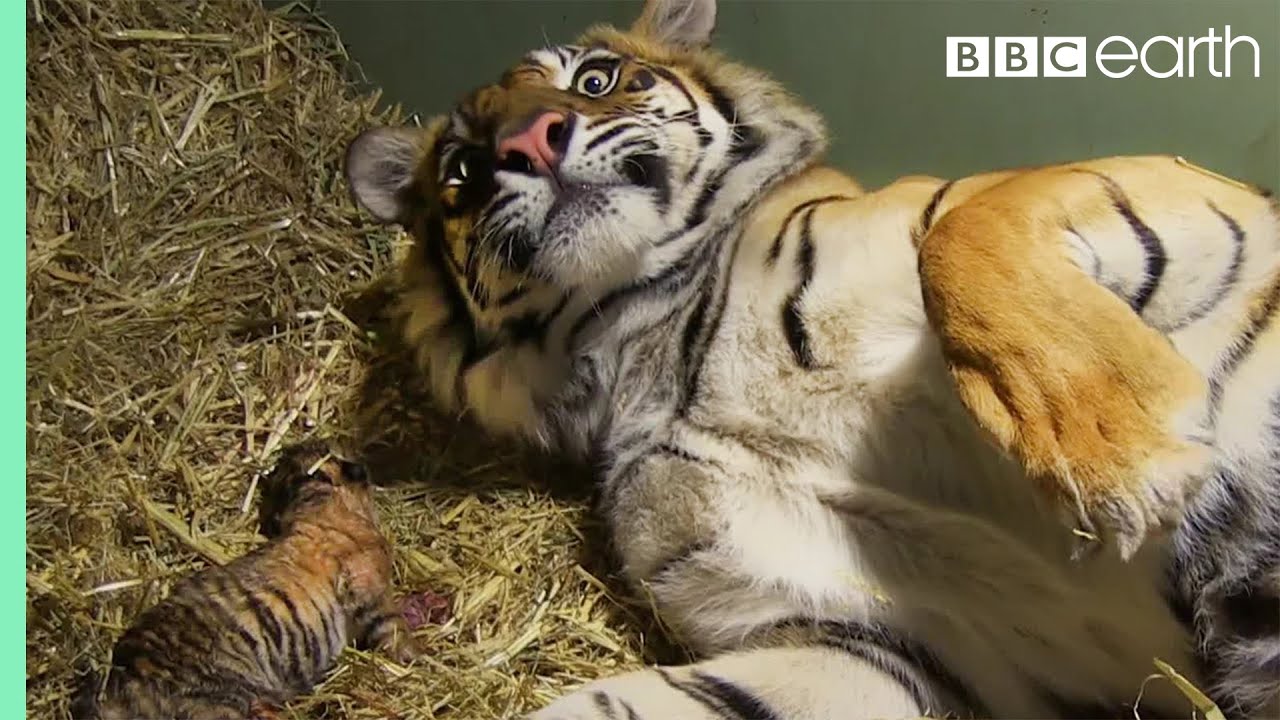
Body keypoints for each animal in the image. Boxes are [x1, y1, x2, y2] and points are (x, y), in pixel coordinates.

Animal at [343, 0, 1280, 712]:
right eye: (463, 170)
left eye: (596, 79)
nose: (531, 141)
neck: (646, 337)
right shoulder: (892, 642)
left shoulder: (1169, 195)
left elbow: (961, 235)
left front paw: (1122, 459)